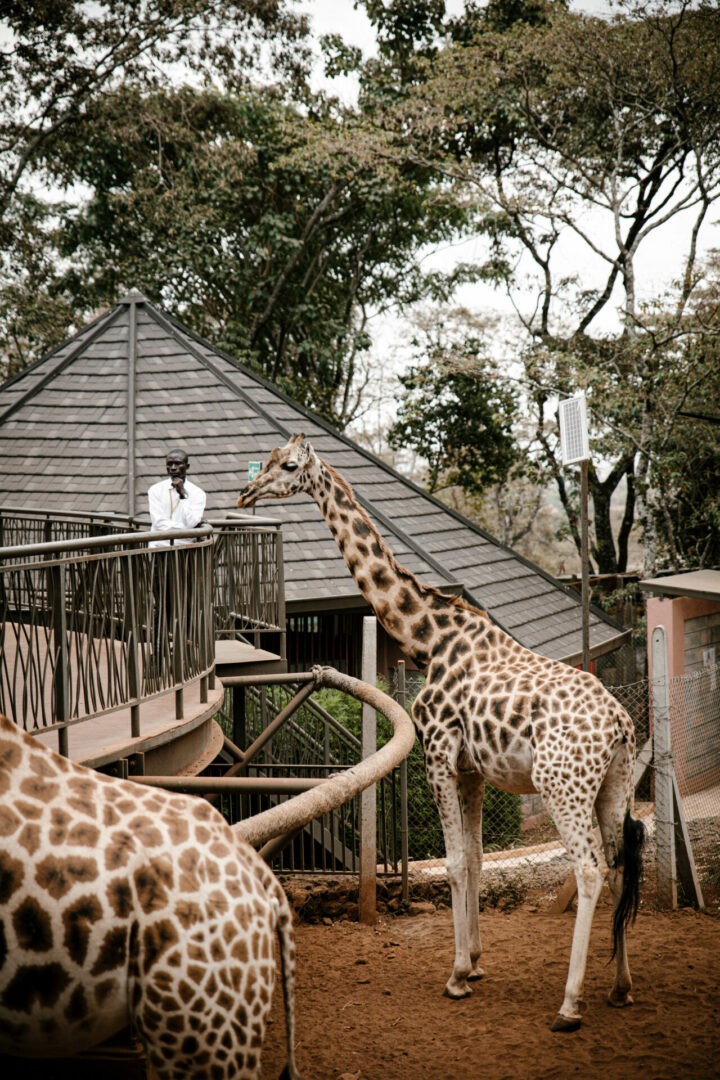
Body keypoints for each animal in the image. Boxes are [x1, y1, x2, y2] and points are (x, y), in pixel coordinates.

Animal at [237, 434, 647, 1032]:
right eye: (264, 460)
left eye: (287, 466)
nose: (245, 494)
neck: (426, 640)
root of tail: (620, 724)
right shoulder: (472, 770)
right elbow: (473, 859)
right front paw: (474, 961)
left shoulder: (435, 752)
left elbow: (453, 863)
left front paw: (455, 977)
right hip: (612, 784)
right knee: (616, 866)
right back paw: (620, 987)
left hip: (561, 786)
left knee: (591, 869)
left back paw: (570, 1004)